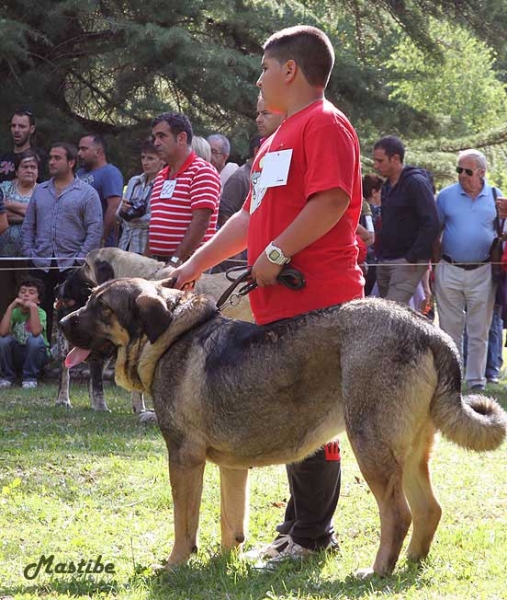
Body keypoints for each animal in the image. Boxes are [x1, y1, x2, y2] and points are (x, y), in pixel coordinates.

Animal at [60, 278, 507, 580]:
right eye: (89, 298)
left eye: (102, 307)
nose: (62, 320)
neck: (171, 337)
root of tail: (429, 330)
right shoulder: (230, 467)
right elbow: (230, 521)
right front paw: (224, 563)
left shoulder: (183, 459)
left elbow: (184, 523)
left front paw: (174, 565)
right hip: (410, 452)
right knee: (430, 509)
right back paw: (411, 563)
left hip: (371, 446)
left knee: (398, 514)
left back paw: (377, 571)